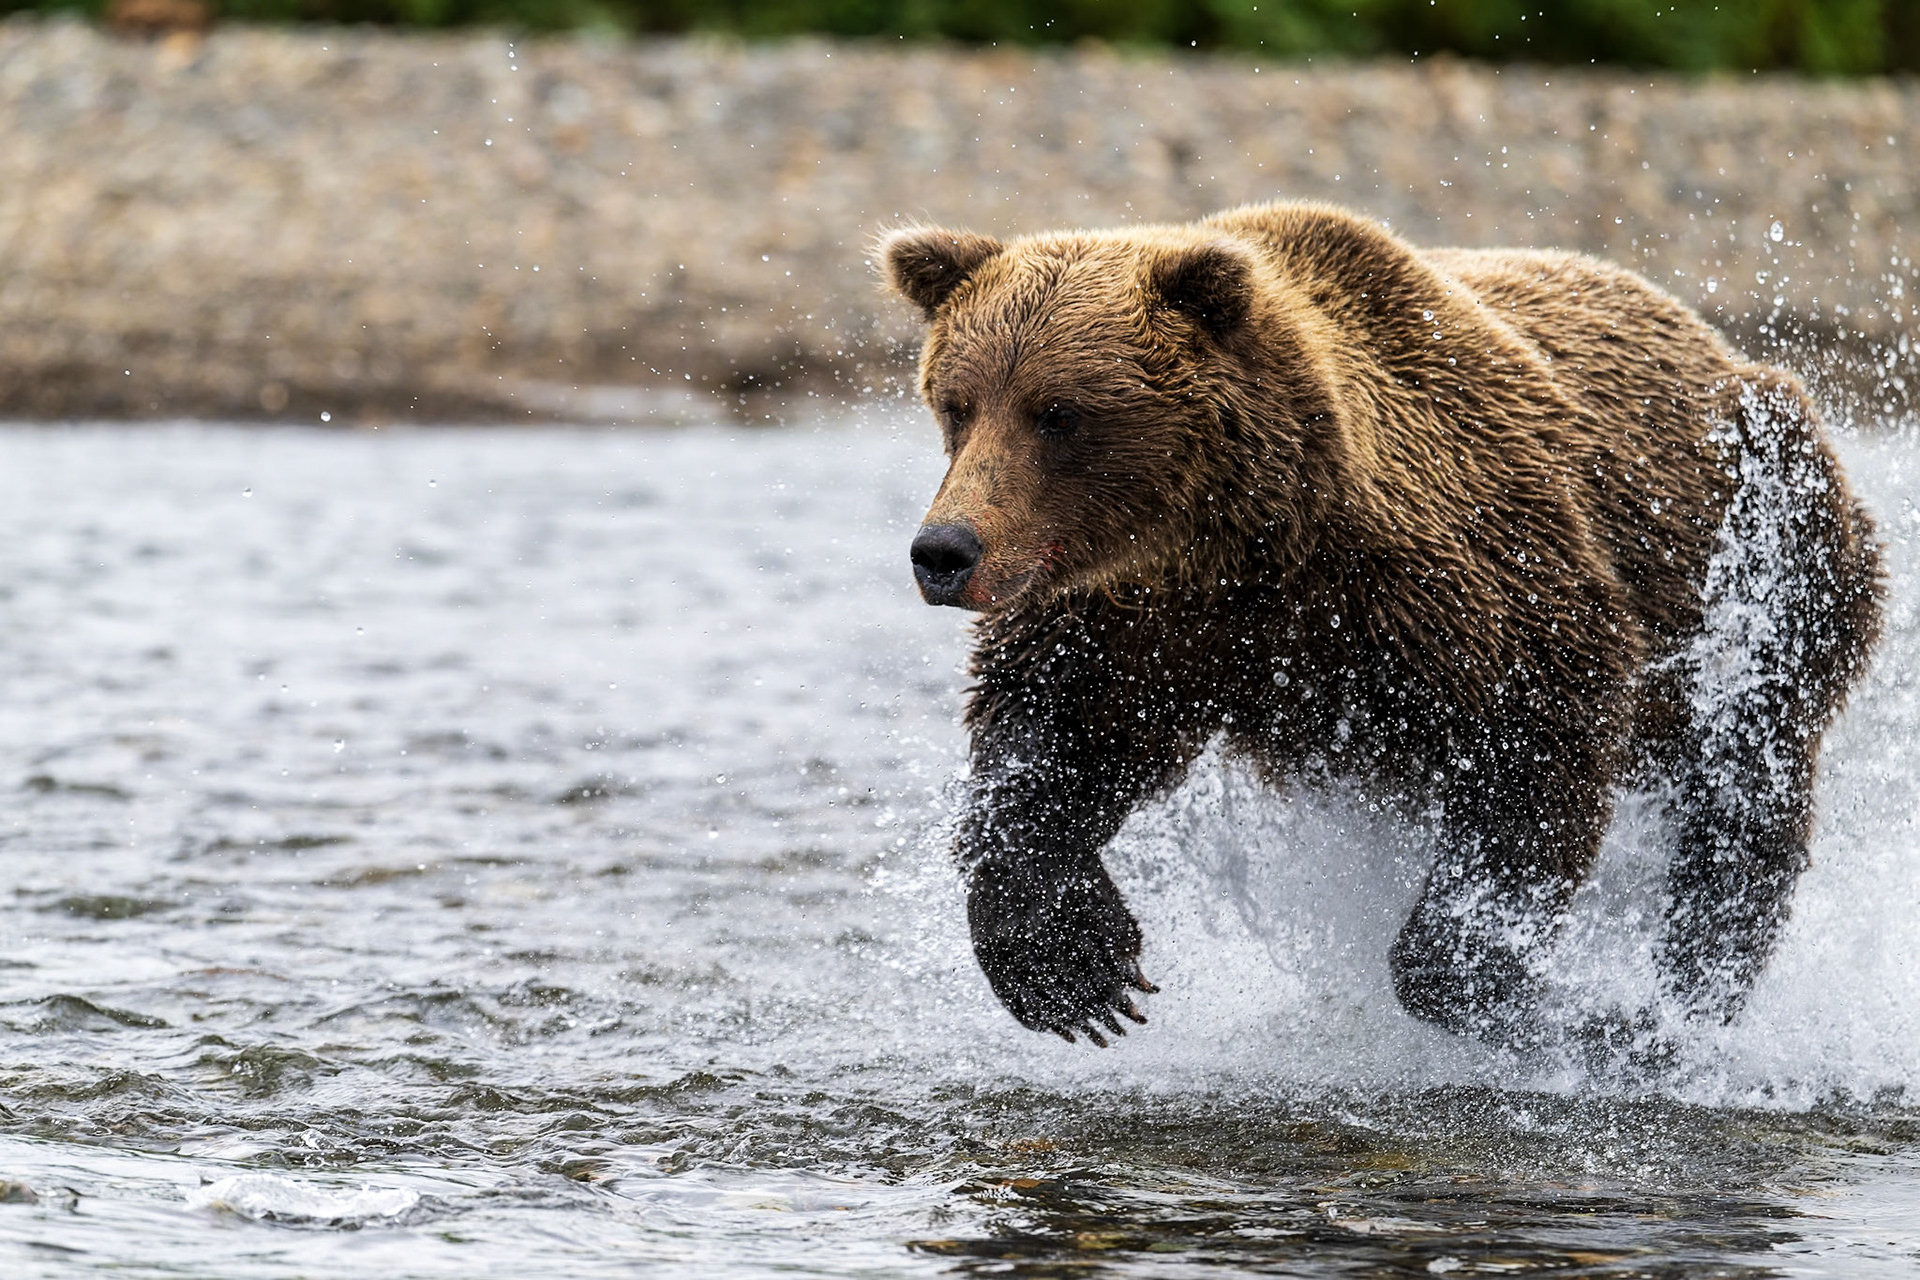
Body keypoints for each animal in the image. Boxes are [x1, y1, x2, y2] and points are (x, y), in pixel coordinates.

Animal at [878, 201, 1884, 1052]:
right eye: (956, 402)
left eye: (1059, 413)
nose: (944, 551)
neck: (1246, 543)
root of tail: (1709, 334)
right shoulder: (1141, 623)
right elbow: (1053, 743)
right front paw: (1073, 967)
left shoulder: (1459, 576)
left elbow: (1536, 740)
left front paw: (1547, 1003)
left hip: (1767, 560)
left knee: (1744, 787)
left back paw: (1688, 990)